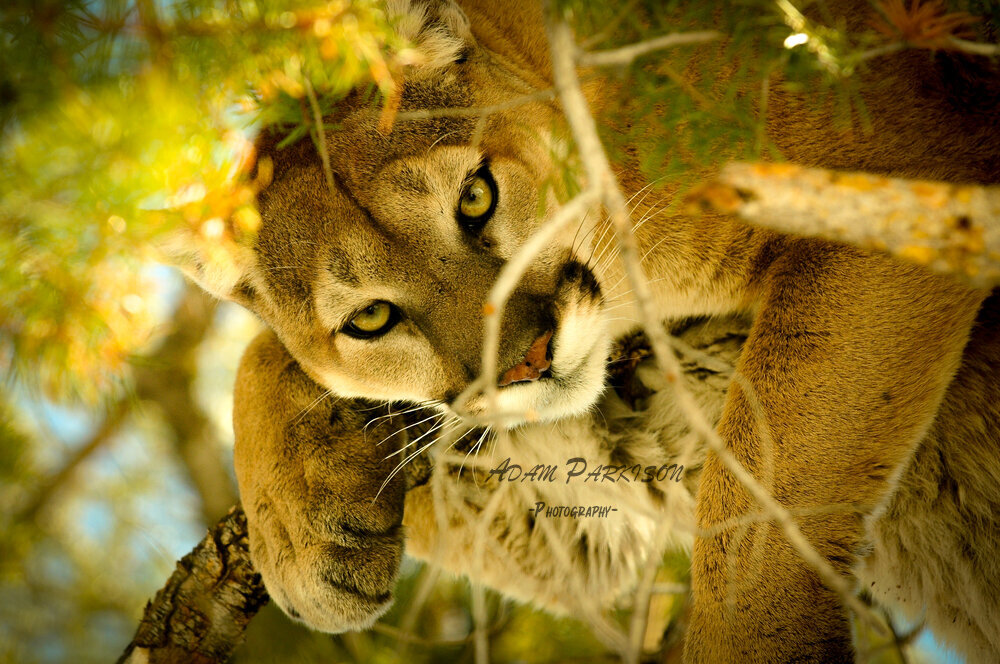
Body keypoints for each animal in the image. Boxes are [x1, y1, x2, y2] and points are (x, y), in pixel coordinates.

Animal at [173, 0, 1000, 661]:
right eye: (370, 318)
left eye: (475, 197)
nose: (527, 362)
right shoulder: (606, 454)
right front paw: (303, 543)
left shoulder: (902, 195)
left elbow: (751, 515)